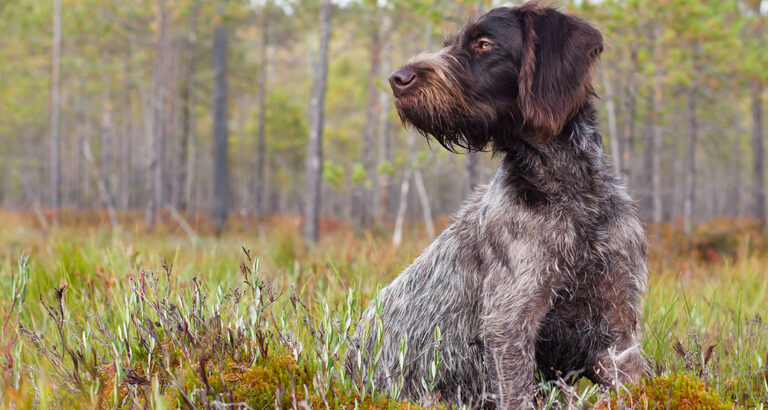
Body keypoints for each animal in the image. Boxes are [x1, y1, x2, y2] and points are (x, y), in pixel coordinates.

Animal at [346, 2, 648, 406]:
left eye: (484, 44)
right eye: (451, 43)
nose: (397, 78)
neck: (571, 194)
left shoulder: (618, 326)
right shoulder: (509, 324)